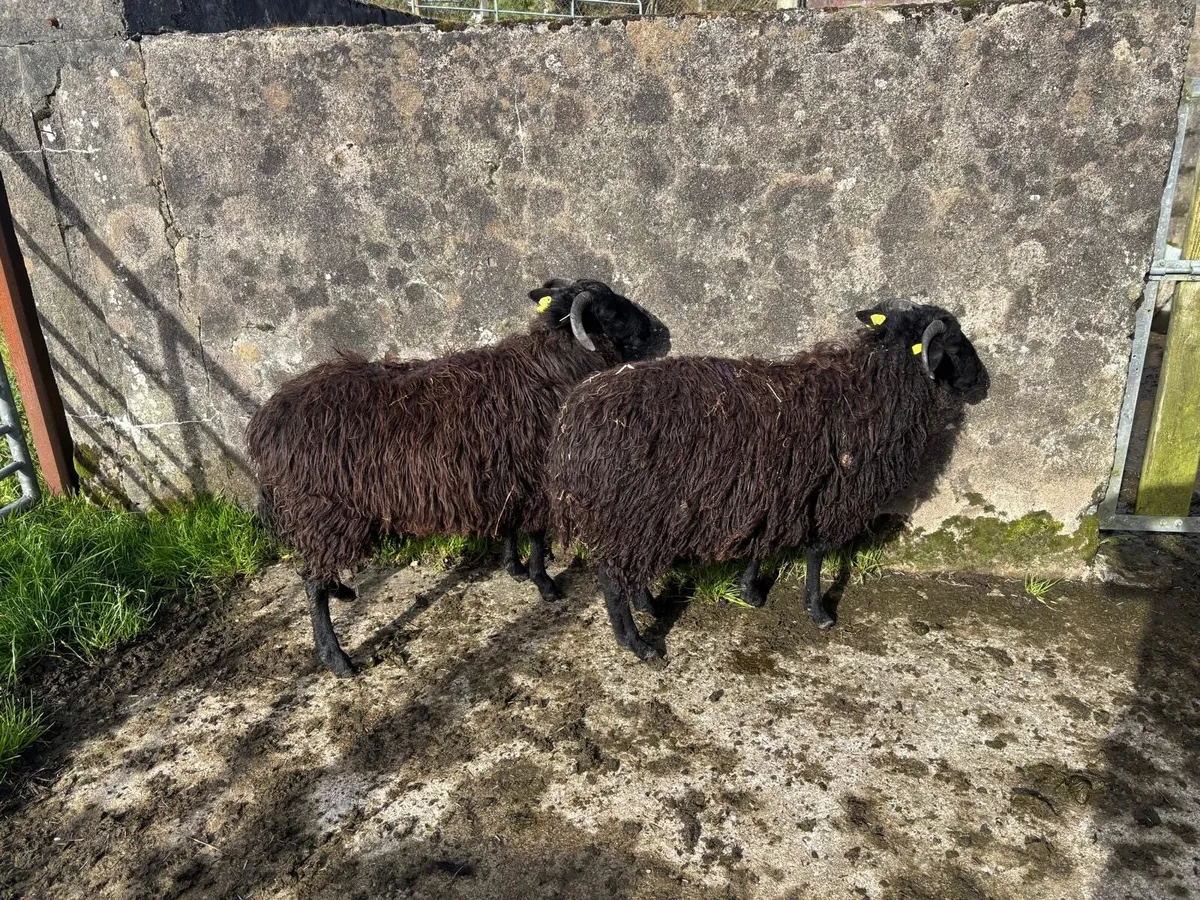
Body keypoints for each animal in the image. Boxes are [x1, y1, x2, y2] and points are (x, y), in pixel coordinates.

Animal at [246, 278, 671, 675]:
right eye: (609, 312)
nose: (654, 329)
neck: (552, 365)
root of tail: (267, 421)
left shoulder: (506, 472)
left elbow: (510, 523)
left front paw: (514, 568)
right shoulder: (534, 475)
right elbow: (535, 532)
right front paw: (544, 582)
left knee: (316, 571)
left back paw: (344, 592)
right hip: (321, 511)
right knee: (311, 583)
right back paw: (336, 657)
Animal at [547, 299, 983, 660]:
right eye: (955, 345)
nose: (980, 379)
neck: (869, 388)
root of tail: (571, 418)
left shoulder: (773, 489)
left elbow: (760, 543)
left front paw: (750, 592)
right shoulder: (826, 492)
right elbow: (815, 553)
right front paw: (818, 611)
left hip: (639, 512)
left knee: (630, 564)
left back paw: (650, 604)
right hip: (624, 507)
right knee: (610, 577)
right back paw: (637, 644)